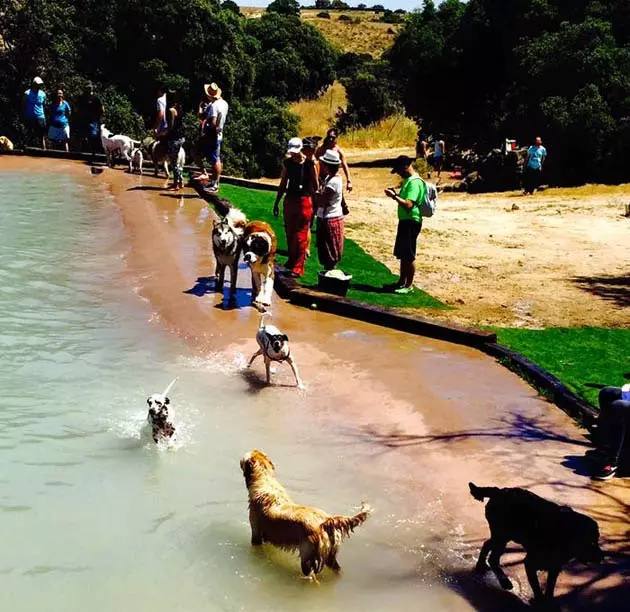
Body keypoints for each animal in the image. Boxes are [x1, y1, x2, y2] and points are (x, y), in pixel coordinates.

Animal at [472, 482, 604, 604]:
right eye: (589, 542)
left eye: (597, 539)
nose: (602, 557)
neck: (561, 533)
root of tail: (498, 491)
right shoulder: (530, 563)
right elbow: (537, 588)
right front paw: (539, 601)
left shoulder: (554, 566)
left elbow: (550, 587)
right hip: (502, 536)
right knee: (493, 558)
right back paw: (505, 582)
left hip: (504, 536)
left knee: (487, 544)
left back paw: (480, 566)